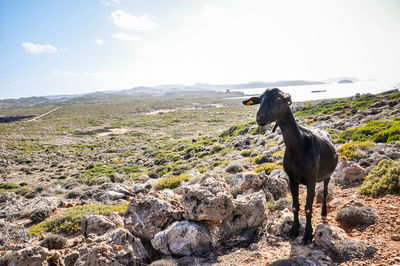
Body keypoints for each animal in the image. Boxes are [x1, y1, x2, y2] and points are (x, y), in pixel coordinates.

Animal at [244, 88, 338, 244]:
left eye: (277, 99)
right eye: (260, 99)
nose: (259, 117)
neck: (298, 145)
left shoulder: (311, 179)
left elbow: (308, 208)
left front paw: (307, 235)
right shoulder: (292, 178)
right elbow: (295, 206)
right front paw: (294, 230)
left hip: (327, 175)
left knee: (325, 191)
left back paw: (324, 212)